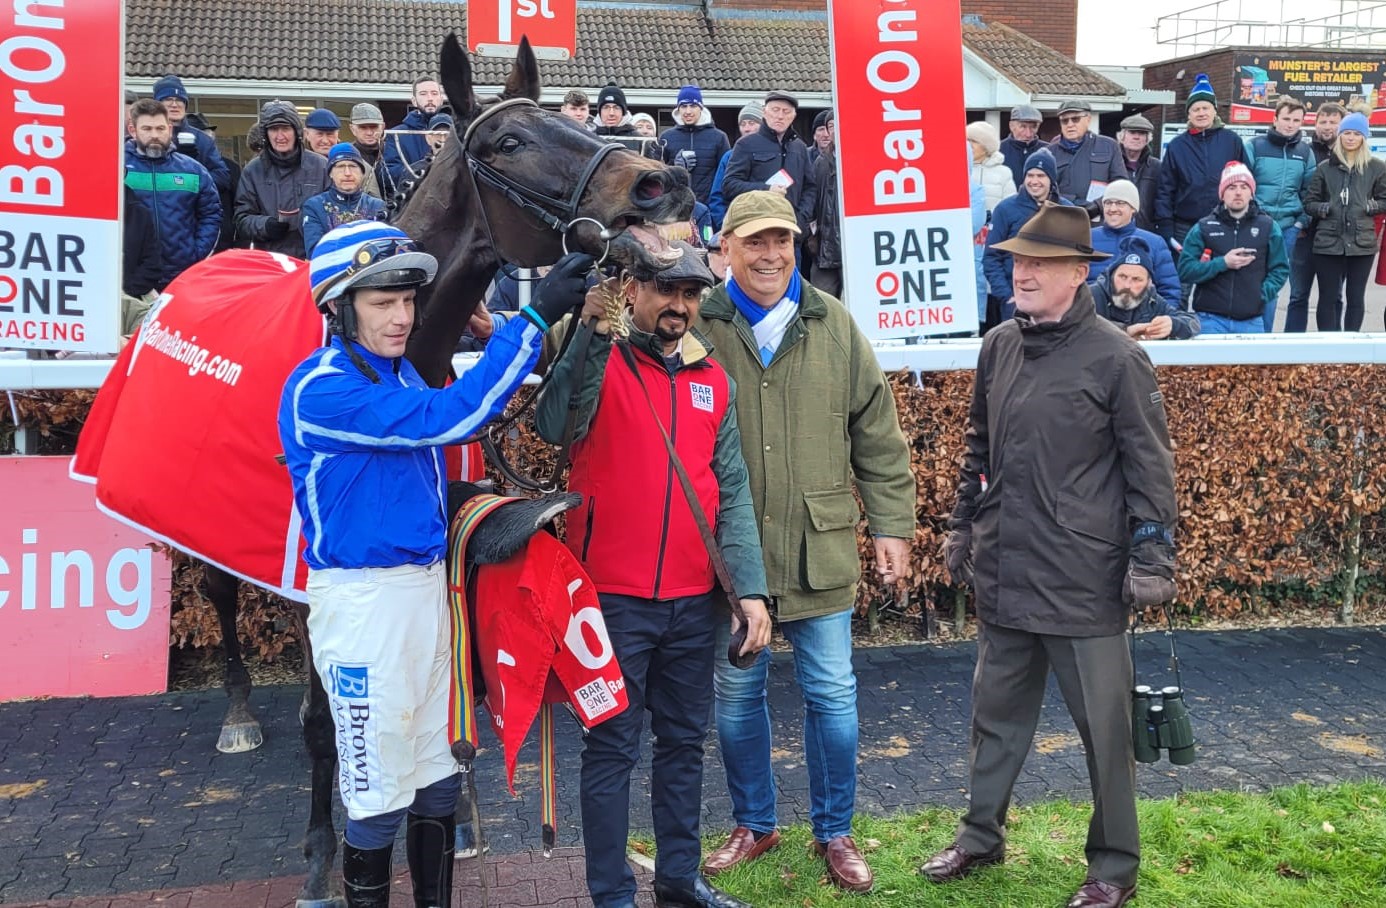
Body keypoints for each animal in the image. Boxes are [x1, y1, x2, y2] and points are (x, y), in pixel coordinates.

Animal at [195, 31, 693, 903]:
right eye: (509, 141)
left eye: (571, 119)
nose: (660, 180)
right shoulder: (316, 580)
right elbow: (326, 726)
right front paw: (320, 855)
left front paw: (458, 816)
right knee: (221, 597)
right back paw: (238, 715)